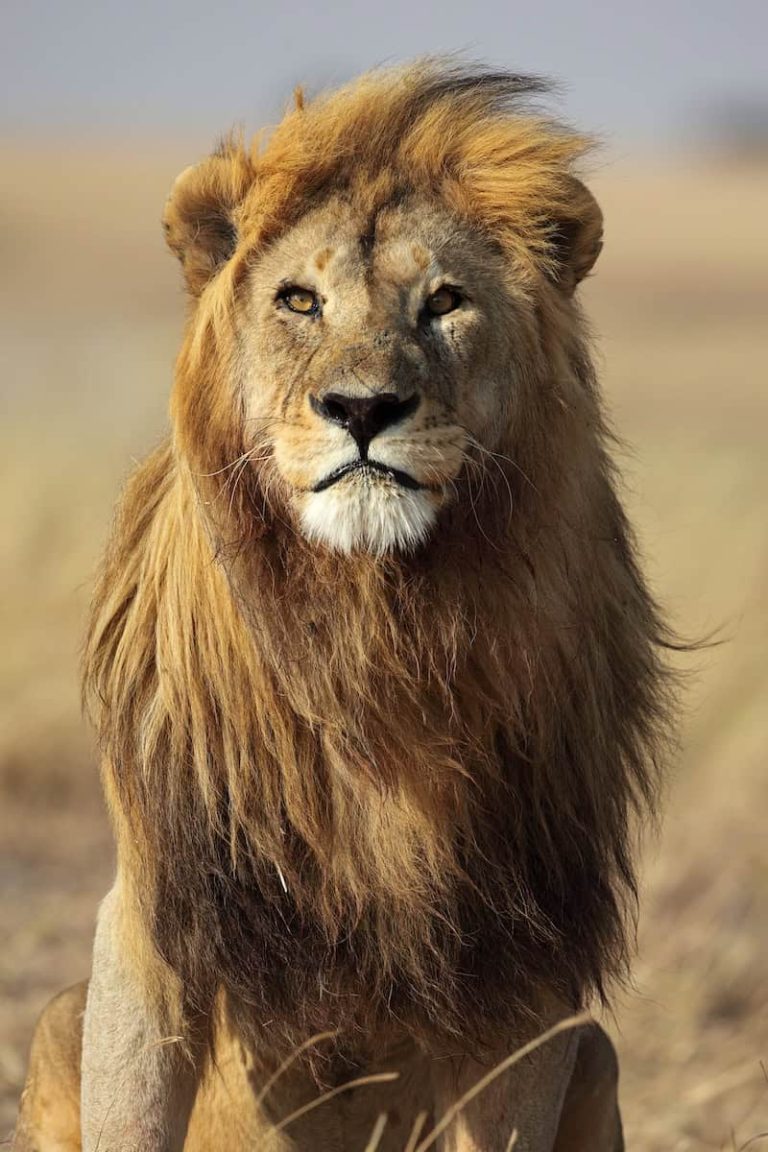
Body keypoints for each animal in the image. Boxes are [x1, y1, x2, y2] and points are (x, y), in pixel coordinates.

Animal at [14, 62, 671, 1151]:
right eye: (299, 299)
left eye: (445, 302)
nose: (363, 409)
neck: (373, 629)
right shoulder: (158, 915)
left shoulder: (529, 964)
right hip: (62, 1014)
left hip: (598, 1051)